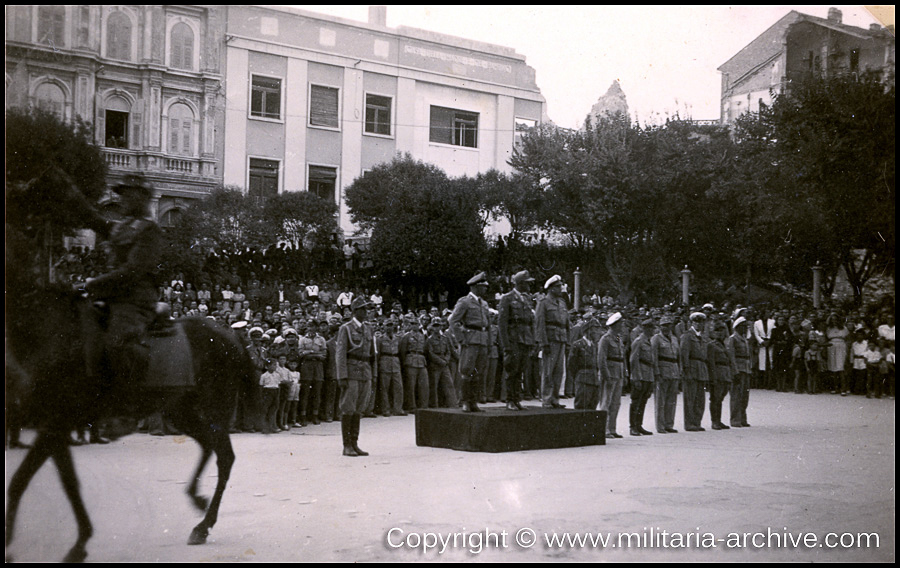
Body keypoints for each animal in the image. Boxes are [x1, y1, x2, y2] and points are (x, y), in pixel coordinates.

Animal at [5, 284, 256, 564]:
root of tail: (229, 336)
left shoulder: (56, 424)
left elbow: (38, 481)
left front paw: (77, 544)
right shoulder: (54, 427)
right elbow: (48, 481)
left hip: (214, 409)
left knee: (224, 456)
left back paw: (203, 525)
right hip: (180, 410)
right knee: (208, 445)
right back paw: (197, 501)